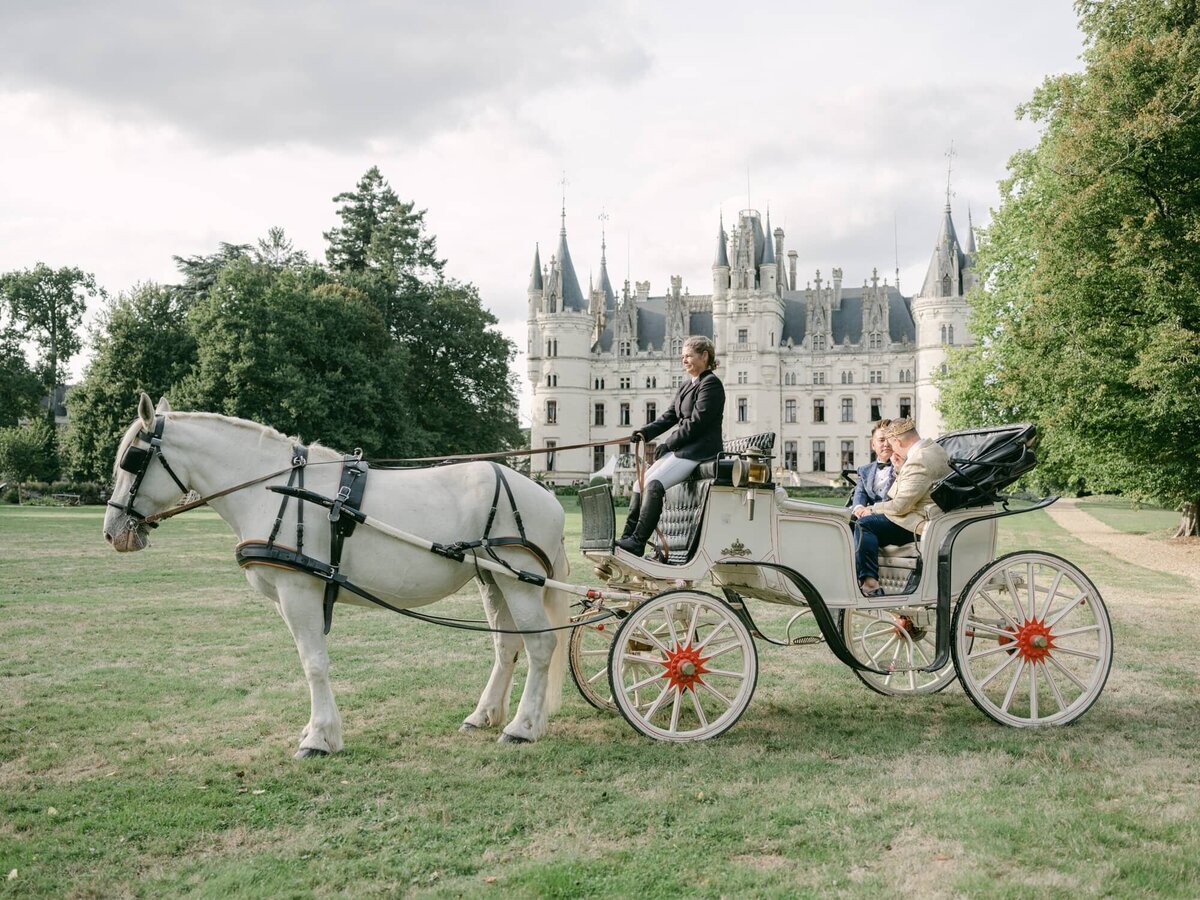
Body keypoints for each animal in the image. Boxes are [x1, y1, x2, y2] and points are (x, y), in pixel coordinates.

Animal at [103, 398, 571, 758]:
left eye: (132, 459)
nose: (112, 532)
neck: (275, 491)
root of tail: (546, 494)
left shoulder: (298, 592)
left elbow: (314, 664)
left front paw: (319, 738)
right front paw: (317, 730)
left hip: (519, 580)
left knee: (540, 648)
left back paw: (523, 727)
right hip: (493, 580)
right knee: (507, 647)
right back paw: (485, 715)